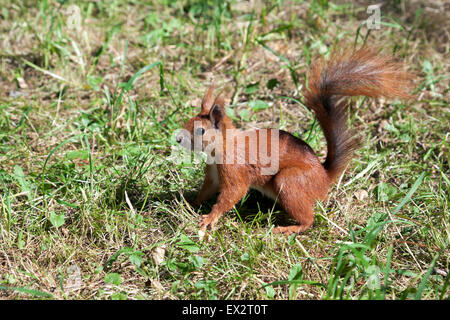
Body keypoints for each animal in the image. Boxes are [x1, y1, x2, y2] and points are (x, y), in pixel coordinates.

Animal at [175, 46, 412, 235]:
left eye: (201, 131)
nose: (177, 138)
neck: (221, 148)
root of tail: (324, 178)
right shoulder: (214, 173)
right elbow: (207, 190)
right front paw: (189, 202)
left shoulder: (235, 169)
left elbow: (231, 194)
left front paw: (209, 218)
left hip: (290, 182)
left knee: (309, 218)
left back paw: (288, 229)